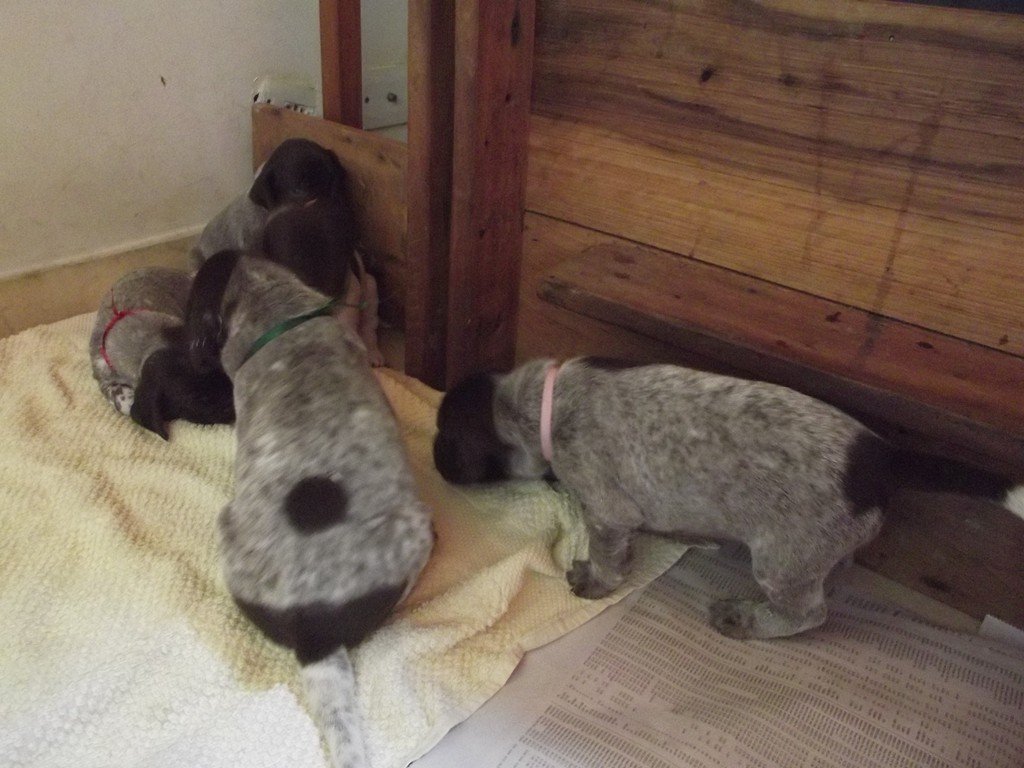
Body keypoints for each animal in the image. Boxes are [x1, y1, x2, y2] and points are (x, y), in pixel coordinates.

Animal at [433, 357, 1024, 640]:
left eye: (444, 436)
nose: (435, 465)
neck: (542, 401)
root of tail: (881, 454)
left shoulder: (607, 510)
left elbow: (606, 556)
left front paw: (595, 581)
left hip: (781, 560)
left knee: (810, 613)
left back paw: (749, 620)